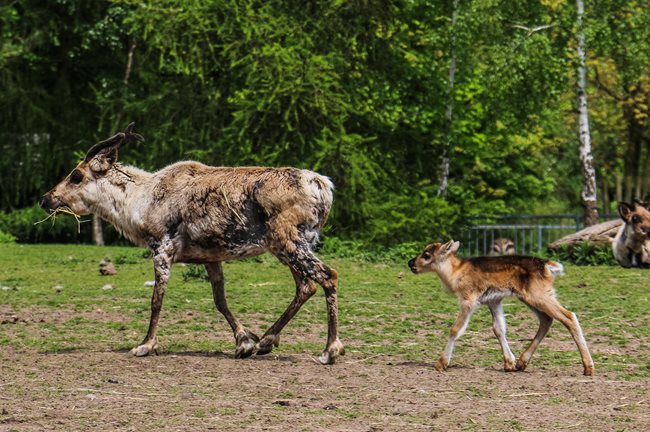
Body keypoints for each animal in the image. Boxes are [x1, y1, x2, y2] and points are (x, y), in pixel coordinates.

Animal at [408, 241, 596, 376]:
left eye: (426, 254)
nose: (411, 263)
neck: (455, 273)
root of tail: (546, 265)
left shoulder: (469, 300)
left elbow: (456, 329)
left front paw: (441, 363)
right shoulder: (494, 300)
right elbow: (498, 329)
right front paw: (509, 363)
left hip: (539, 296)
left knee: (569, 316)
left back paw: (588, 368)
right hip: (532, 297)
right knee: (546, 319)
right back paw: (521, 362)